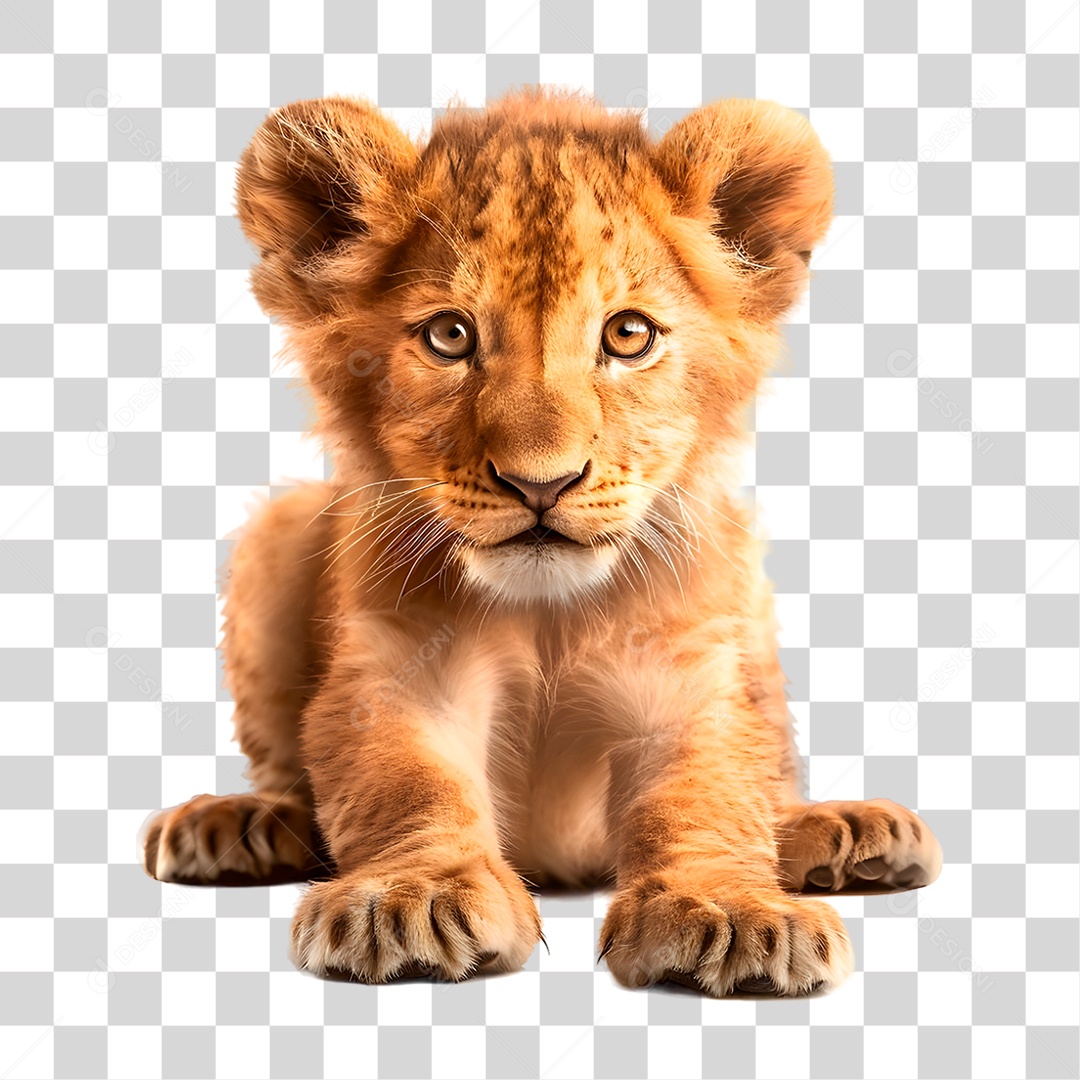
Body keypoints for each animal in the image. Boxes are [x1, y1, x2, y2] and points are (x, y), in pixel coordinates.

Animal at [142, 88, 942, 997]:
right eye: (450, 336)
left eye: (628, 335)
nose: (541, 484)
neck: (547, 615)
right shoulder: (396, 672)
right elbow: (404, 781)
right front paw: (414, 897)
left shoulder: (687, 681)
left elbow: (708, 787)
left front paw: (729, 911)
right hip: (274, 538)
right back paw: (237, 822)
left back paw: (845, 833)